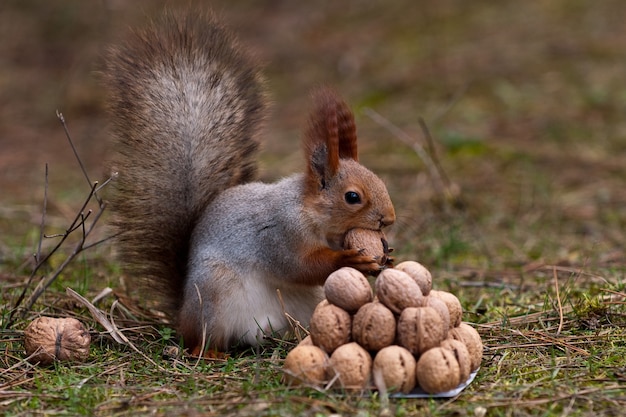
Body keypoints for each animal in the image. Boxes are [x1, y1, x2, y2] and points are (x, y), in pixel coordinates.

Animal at [103, 11, 394, 352]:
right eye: (352, 197)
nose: (389, 219)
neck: (311, 213)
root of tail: (182, 312)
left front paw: (385, 253)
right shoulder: (279, 235)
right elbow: (300, 267)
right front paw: (348, 259)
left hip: (305, 303)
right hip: (214, 295)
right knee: (202, 339)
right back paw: (209, 352)